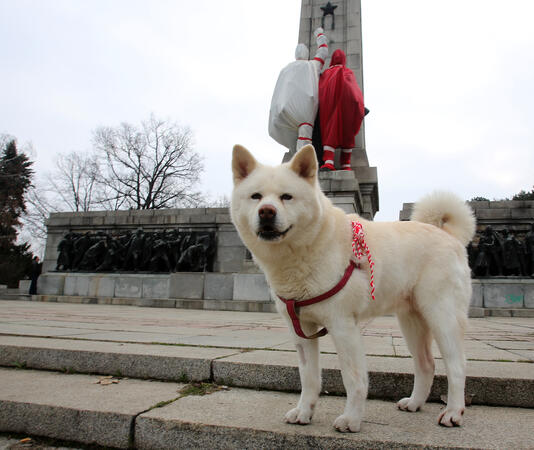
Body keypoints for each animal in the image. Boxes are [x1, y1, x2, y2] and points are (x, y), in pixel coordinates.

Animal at [230, 144, 478, 432]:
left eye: (286, 197)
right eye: (256, 196)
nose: (266, 212)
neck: (302, 252)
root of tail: (449, 236)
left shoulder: (343, 326)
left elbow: (353, 379)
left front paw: (351, 419)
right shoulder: (301, 331)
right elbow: (309, 377)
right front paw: (304, 412)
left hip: (441, 316)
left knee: (457, 365)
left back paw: (453, 413)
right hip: (411, 321)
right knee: (425, 364)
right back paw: (415, 403)